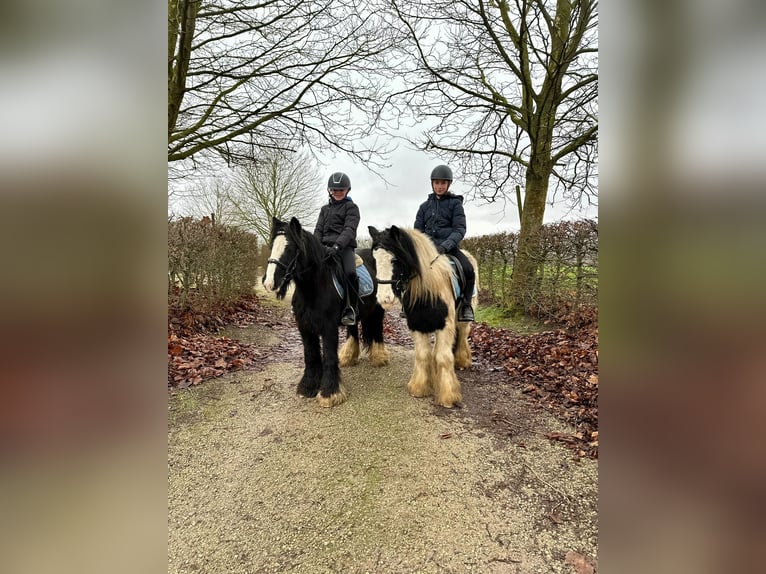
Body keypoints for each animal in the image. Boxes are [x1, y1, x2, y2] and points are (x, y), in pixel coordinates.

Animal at [264, 217, 392, 410]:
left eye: (290, 248)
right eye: (273, 245)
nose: (269, 283)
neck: (313, 288)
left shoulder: (329, 328)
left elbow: (329, 357)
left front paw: (329, 393)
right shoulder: (305, 328)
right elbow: (310, 356)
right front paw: (308, 387)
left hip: (377, 310)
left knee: (377, 329)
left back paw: (379, 357)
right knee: (353, 329)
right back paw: (349, 357)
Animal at [368, 225, 476, 410]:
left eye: (395, 260)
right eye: (375, 259)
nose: (384, 298)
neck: (428, 291)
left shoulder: (445, 325)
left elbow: (443, 357)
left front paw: (448, 396)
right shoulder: (417, 325)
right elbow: (423, 354)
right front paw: (419, 387)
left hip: (462, 319)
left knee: (462, 335)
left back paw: (462, 361)